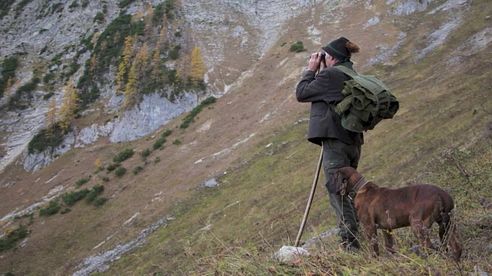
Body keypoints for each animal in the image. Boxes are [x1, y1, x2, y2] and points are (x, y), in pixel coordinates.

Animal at [334, 166, 462, 260]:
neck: (359, 189)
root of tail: (440, 194)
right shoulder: (386, 229)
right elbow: (389, 247)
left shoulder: (369, 228)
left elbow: (374, 249)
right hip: (449, 225)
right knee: (456, 246)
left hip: (418, 226)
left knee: (430, 247)